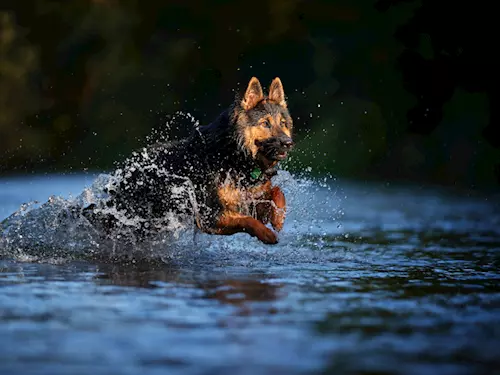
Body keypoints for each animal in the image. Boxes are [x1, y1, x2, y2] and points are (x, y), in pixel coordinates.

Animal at [82, 77, 292, 245]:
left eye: (282, 123)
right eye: (265, 123)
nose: (288, 143)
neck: (235, 154)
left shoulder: (252, 200)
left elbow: (276, 192)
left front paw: (279, 218)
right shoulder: (210, 216)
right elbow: (248, 221)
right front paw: (267, 234)